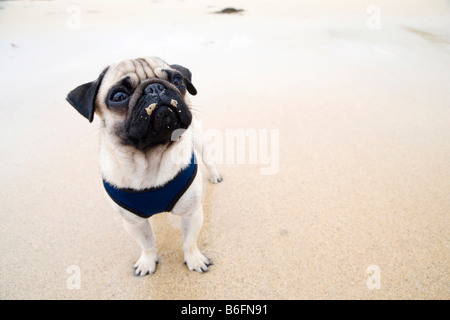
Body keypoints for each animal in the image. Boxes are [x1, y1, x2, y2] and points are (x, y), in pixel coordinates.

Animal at [66, 57, 221, 276]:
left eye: (178, 80)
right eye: (119, 96)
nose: (155, 87)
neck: (150, 159)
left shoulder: (192, 213)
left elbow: (189, 242)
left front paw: (194, 259)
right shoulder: (134, 223)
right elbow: (146, 244)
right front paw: (148, 262)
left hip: (199, 139)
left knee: (207, 158)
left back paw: (215, 175)